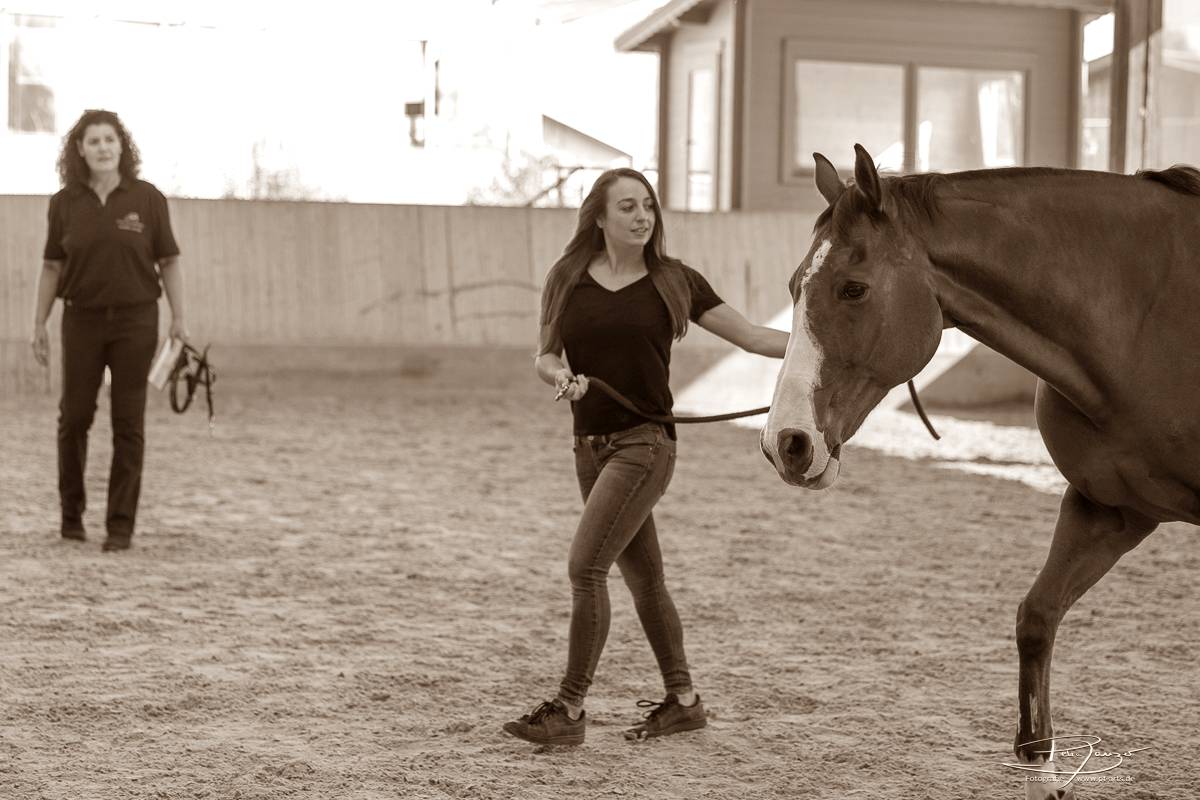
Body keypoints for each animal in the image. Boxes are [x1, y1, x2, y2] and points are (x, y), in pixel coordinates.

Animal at [758, 145, 1200, 800]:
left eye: (853, 288)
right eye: (793, 287)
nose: (785, 443)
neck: (1147, 315)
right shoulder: (1110, 510)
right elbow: (1037, 619)